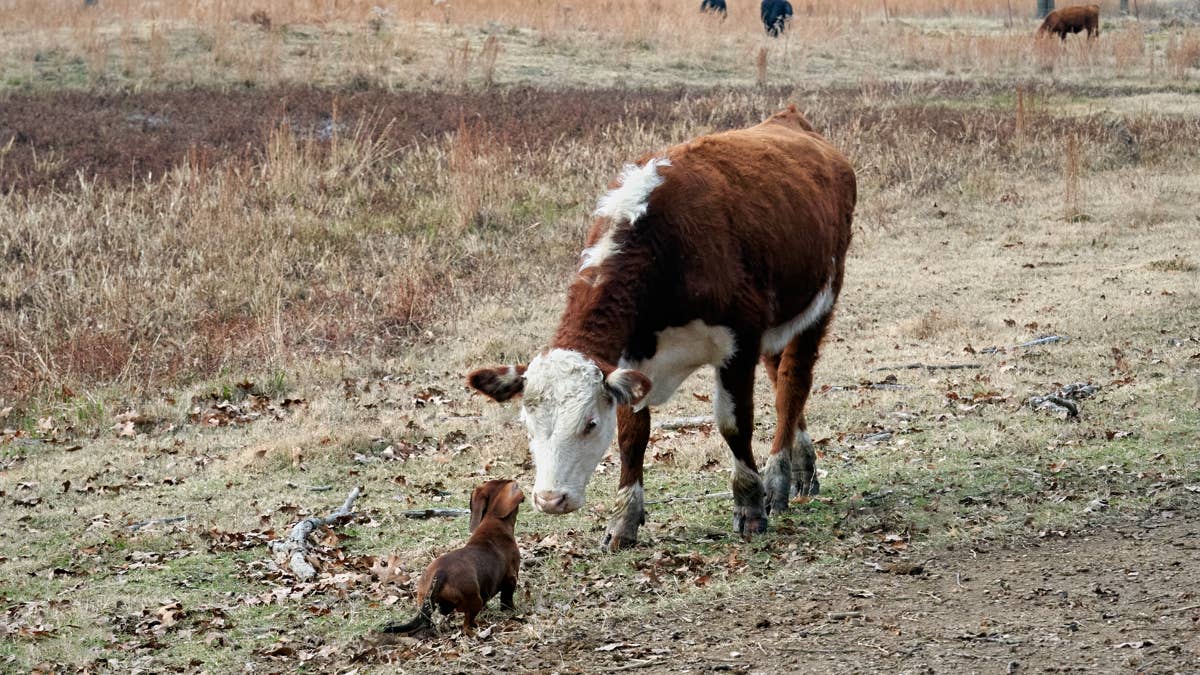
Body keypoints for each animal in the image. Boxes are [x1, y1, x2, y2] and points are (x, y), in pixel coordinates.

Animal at [469, 105, 855, 551]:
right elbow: (632, 435)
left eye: (589, 424)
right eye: (528, 426)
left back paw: (777, 478)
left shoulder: (738, 342)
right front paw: (623, 520)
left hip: (821, 301)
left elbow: (734, 424)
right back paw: (802, 465)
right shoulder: (632, 360)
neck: (663, 246)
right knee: (781, 381)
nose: (550, 499)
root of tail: (788, 118)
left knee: (792, 385)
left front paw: (750, 508)